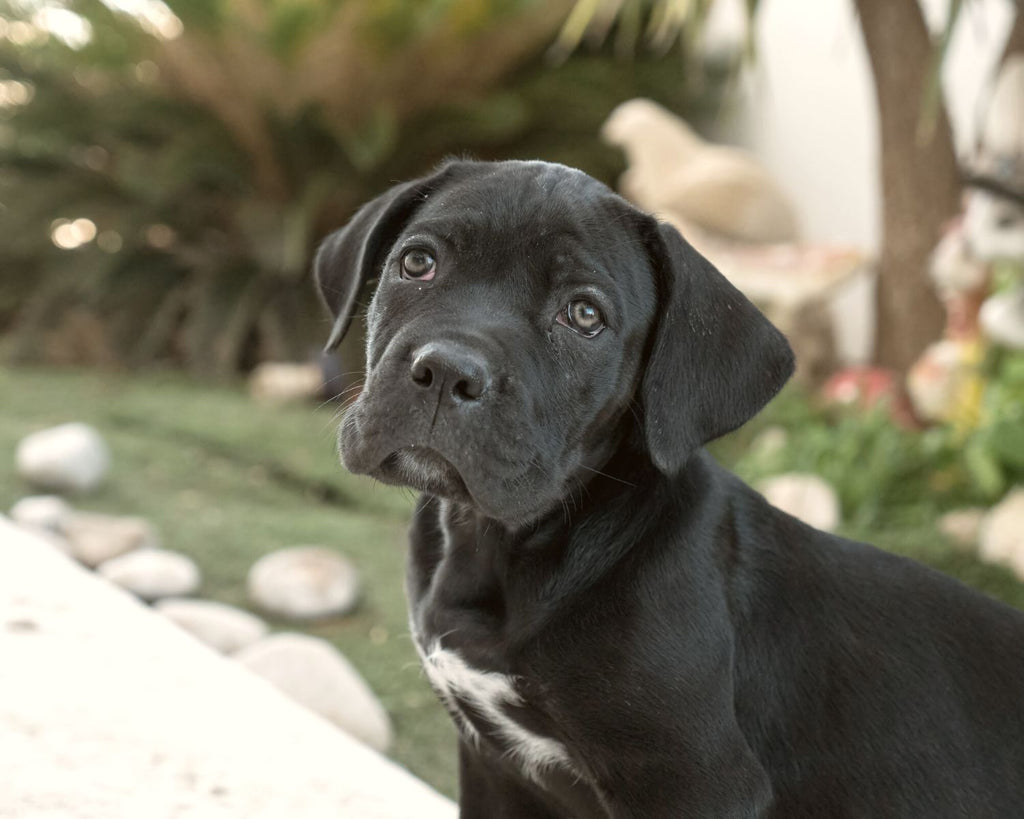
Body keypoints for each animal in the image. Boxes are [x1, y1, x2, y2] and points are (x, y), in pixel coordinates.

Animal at [317, 161, 1024, 818]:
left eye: (584, 315)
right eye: (417, 262)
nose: (445, 371)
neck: (501, 546)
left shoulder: (695, 782)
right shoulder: (493, 766)